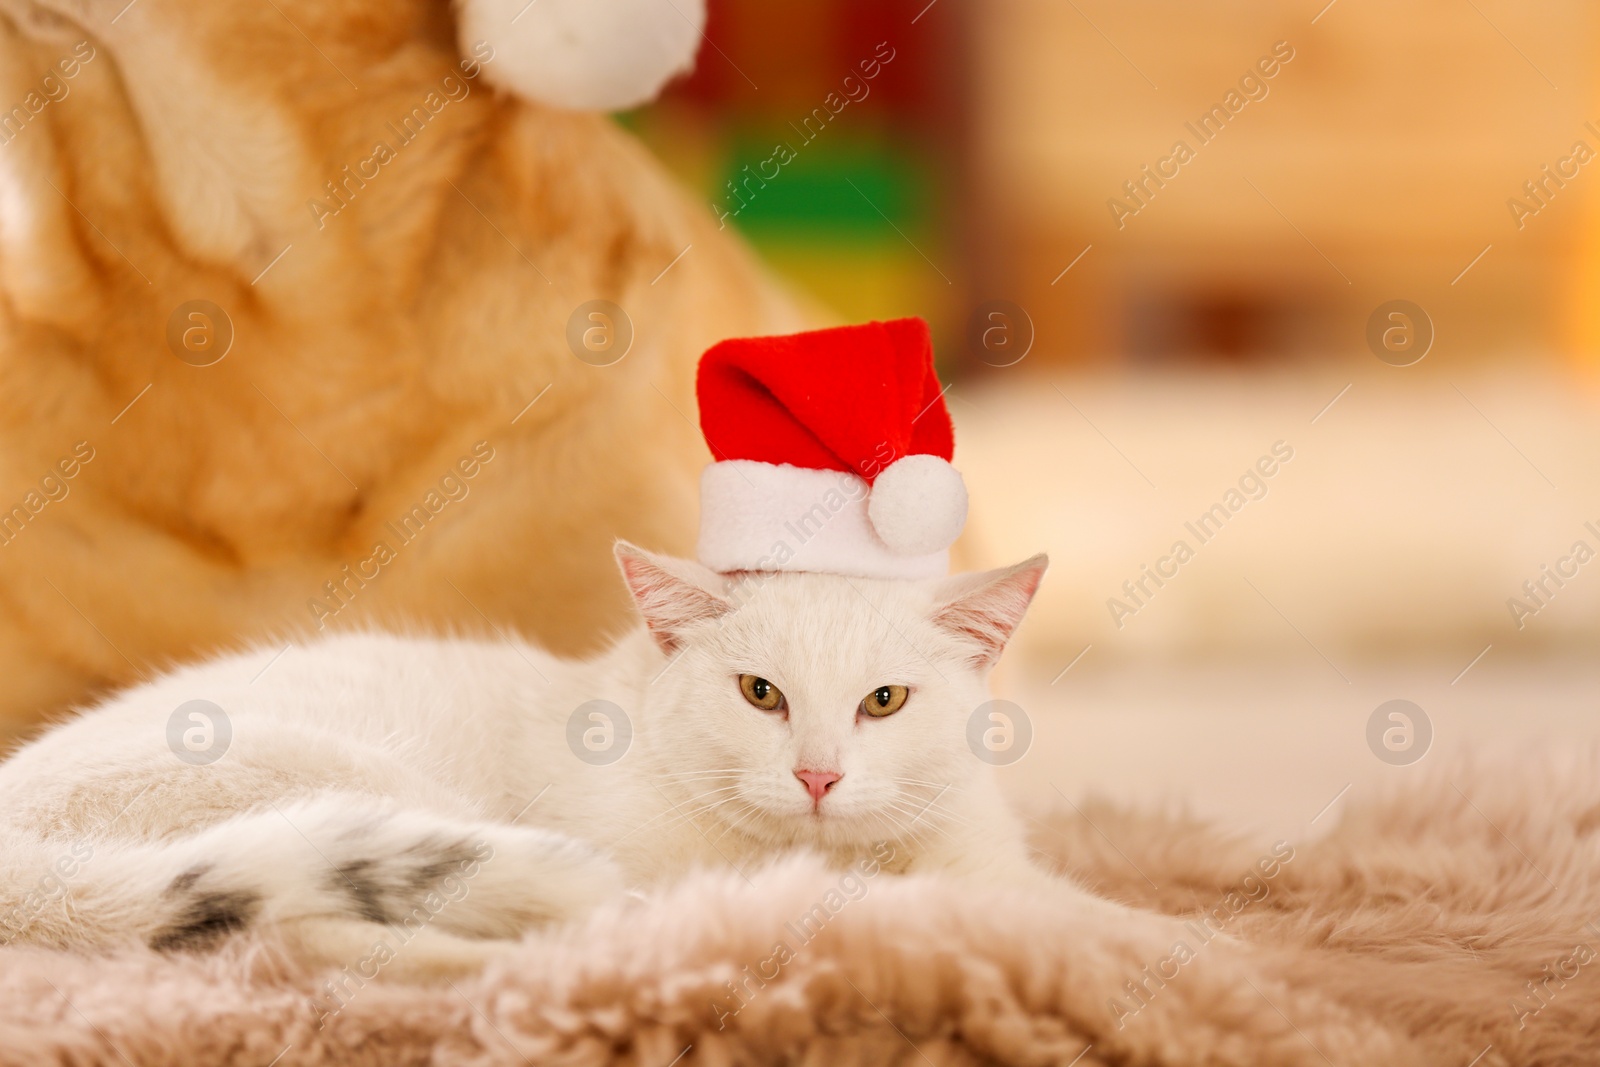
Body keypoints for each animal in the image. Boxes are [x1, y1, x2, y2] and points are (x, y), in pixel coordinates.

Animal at [0, 547, 1107, 972]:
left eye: (885, 701)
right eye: (760, 693)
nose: (819, 776)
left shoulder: (990, 859)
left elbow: (1089, 912)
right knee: (300, 933)